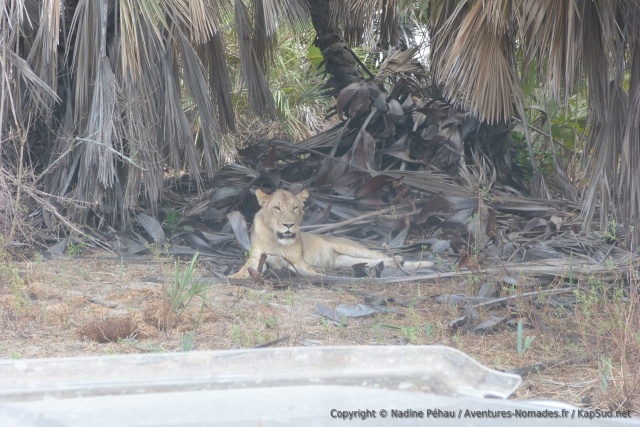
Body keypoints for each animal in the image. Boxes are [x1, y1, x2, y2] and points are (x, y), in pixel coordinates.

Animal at [229, 189, 432, 279]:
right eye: (277, 208)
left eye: (295, 208)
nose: (289, 225)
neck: (276, 241)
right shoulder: (256, 258)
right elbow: (244, 270)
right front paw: (234, 277)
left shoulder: (297, 261)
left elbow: (306, 270)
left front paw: (317, 274)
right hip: (345, 260)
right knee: (372, 262)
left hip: (352, 247)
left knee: (379, 255)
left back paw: (410, 261)